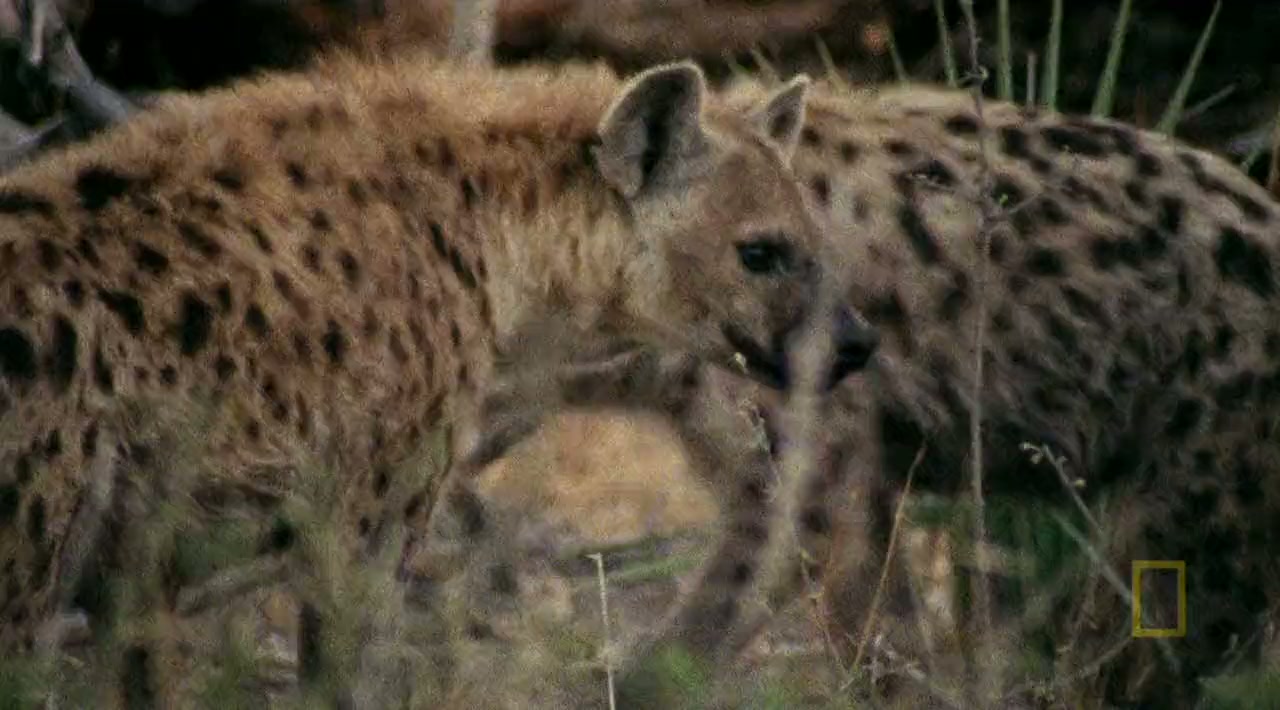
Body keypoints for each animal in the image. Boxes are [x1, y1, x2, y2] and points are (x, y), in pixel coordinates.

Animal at [0, 49, 880, 694]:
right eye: (758, 253)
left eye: (815, 242)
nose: (856, 343)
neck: (490, 231)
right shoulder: (368, 510)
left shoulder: (135, 562)